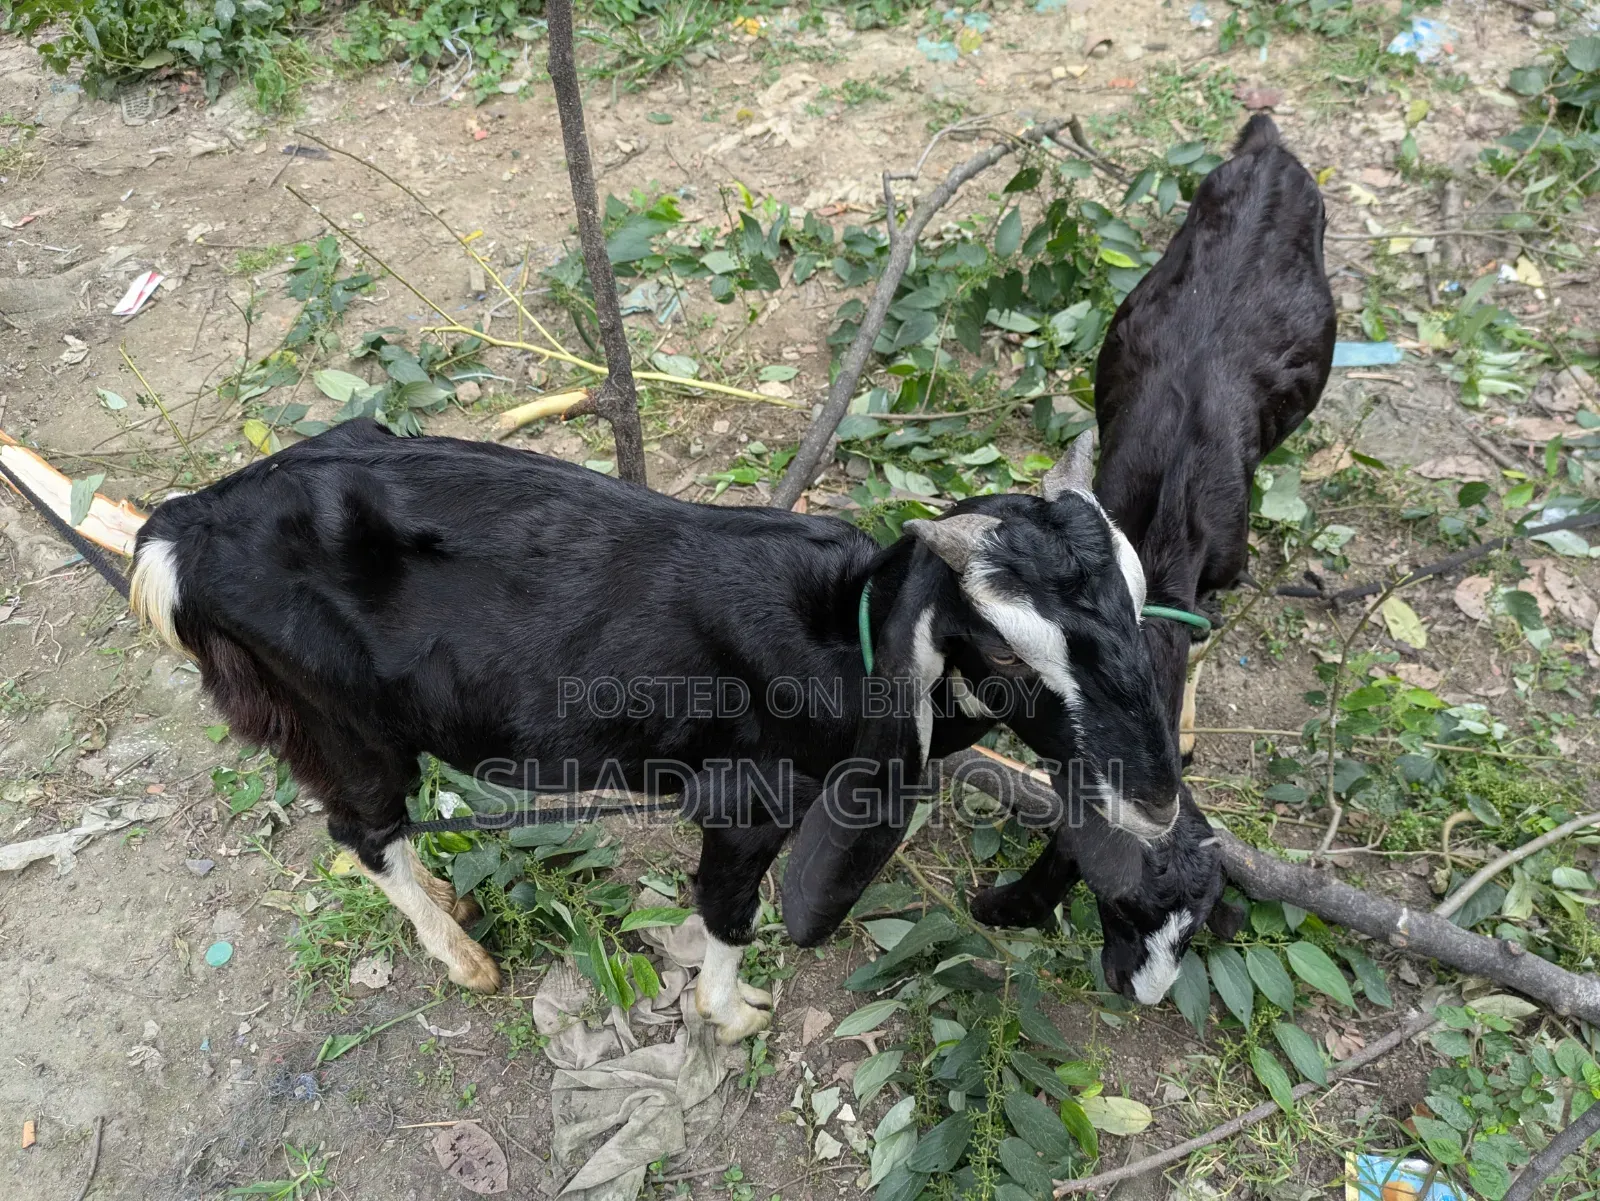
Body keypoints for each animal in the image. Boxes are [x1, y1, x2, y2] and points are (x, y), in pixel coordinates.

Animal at [130, 418, 1179, 1042]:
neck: (840, 634)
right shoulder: (747, 802)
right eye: (1005, 653)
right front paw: (733, 1011)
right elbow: (728, 909)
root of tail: (184, 528)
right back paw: (464, 955)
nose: (1161, 803)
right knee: (364, 829)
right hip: (339, 719)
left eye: (1139, 604)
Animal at [969, 114, 1335, 1002]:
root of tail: (1267, 146)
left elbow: (1206, 632)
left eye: (1193, 929)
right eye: (1124, 910)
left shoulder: (1222, 567)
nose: (1140, 992)